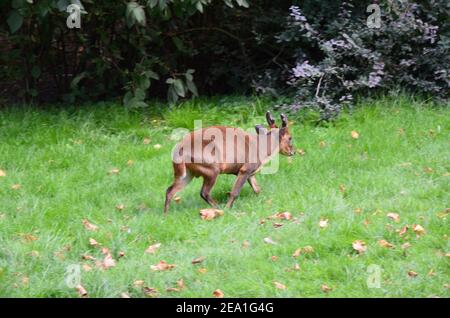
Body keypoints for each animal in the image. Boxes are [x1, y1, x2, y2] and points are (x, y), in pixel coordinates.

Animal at [163, 110, 294, 212]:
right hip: (212, 168)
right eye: (290, 138)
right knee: (204, 192)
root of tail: (179, 148)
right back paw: (218, 209)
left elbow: (257, 189)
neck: (261, 148)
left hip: (187, 173)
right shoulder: (245, 169)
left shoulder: (250, 172)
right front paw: (228, 208)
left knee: (170, 190)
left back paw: (166, 215)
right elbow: (235, 192)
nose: (293, 152)